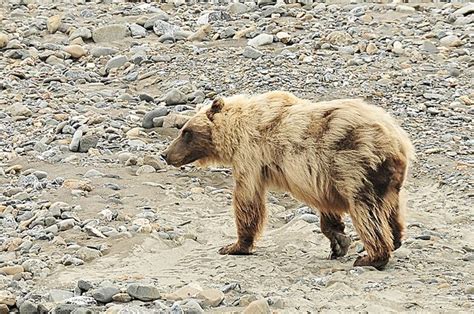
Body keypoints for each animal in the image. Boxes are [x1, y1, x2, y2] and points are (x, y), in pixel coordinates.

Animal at [161, 91, 412, 270]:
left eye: (186, 131)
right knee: (390, 208)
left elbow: (247, 199)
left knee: (366, 211)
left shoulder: (251, 156)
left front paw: (234, 246)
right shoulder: (322, 177)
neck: (235, 132)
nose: (165, 154)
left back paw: (372, 257)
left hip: (355, 164)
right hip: (386, 178)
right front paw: (338, 241)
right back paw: (395, 238)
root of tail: (398, 139)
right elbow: (327, 209)